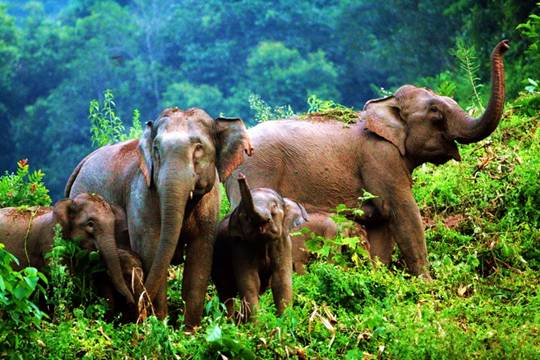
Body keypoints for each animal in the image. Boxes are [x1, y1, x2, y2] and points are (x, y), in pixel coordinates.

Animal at [66, 107, 253, 330]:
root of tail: (81, 164)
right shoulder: (142, 195)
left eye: (198, 147)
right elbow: (152, 250)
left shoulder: (209, 203)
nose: (136, 309)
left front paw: (189, 332)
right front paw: (160, 328)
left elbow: (200, 257)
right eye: (156, 149)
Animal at [212, 174, 308, 320]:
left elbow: (281, 279)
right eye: (244, 215)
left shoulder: (283, 243)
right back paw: (230, 321)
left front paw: (283, 322)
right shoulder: (240, 246)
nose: (241, 176)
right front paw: (257, 324)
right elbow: (250, 282)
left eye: (274, 206)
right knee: (226, 291)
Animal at [227, 40, 510, 278]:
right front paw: (427, 285)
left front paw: (380, 276)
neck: (384, 108)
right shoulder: (380, 159)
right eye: (435, 112)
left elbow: (382, 224)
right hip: (256, 174)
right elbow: (403, 213)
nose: (505, 44)